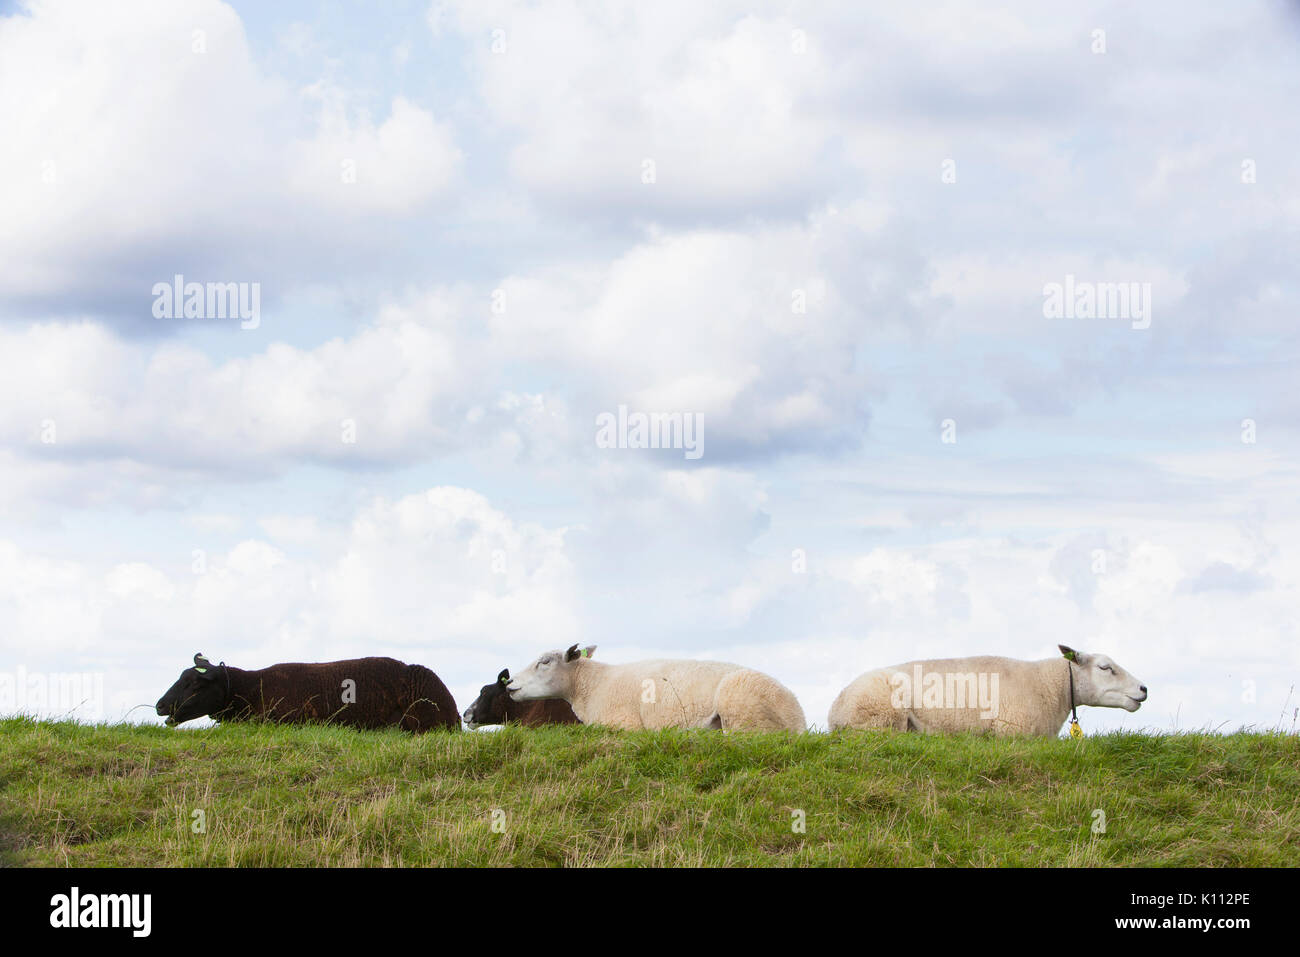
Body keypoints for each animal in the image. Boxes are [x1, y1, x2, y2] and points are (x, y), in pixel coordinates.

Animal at [504, 650, 800, 733]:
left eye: (544, 661)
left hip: (742, 710)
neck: (592, 683)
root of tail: (798, 717)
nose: (509, 683)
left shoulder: (623, 724)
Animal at [826, 647, 1144, 738]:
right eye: (1105, 667)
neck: (1048, 685)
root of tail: (834, 710)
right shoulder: (1011, 731)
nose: (1144, 689)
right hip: (882, 713)